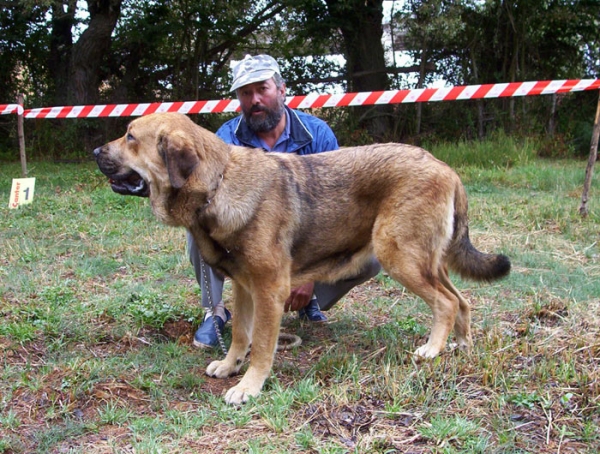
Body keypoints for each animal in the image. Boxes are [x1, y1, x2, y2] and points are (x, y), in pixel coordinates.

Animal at [94, 112, 510, 404]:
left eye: (130, 137)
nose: (96, 151)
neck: (219, 183)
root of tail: (446, 169)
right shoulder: (244, 288)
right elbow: (240, 335)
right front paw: (230, 367)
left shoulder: (269, 290)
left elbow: (262, 345)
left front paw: (249, 386)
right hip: (427, 261)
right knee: (461, 300)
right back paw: (461, 346)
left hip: (399, 256)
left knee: (445, 303)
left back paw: (432, 349)